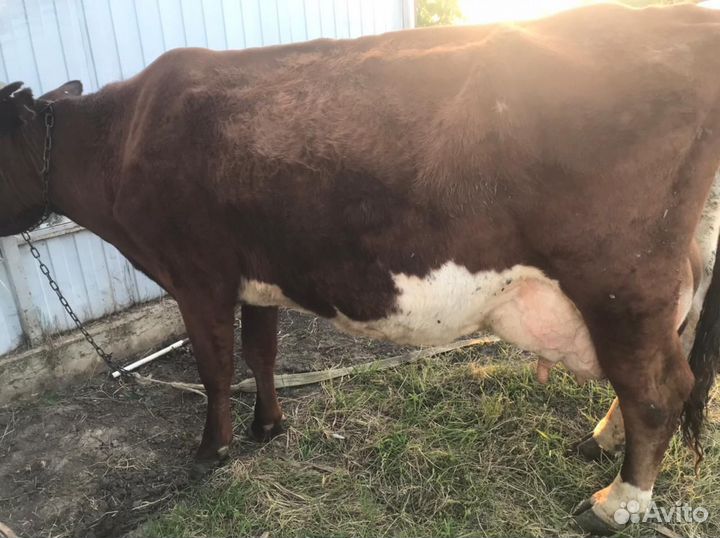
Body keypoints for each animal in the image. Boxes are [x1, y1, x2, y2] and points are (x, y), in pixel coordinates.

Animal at [2, 3, 720, 533]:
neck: (120, 138)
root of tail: (684, 22)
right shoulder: (255, 275)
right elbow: (261, 352)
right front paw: (269, 426)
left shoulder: (197, 274)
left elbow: (215, 369)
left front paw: (213, 450)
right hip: (666, 277)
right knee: (663, 365)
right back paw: (601, 441)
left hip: (620, 280)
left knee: (658, 387)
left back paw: (618, 502)